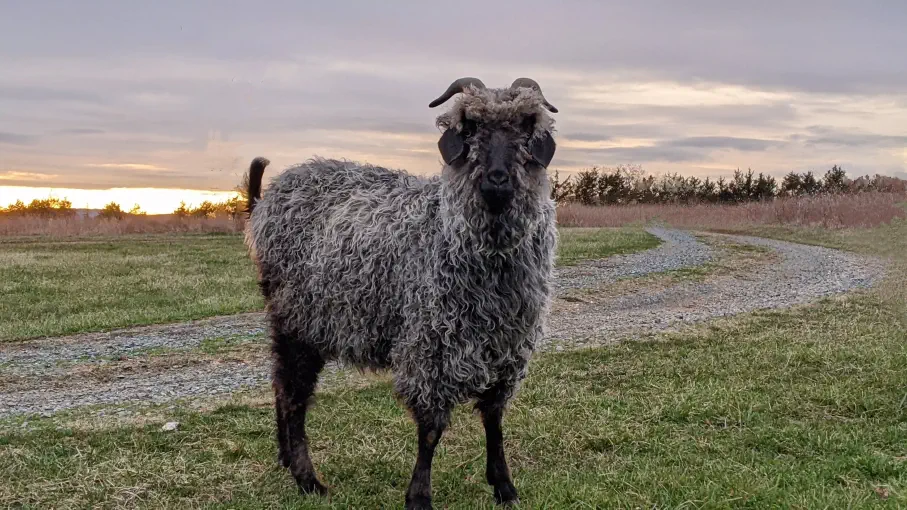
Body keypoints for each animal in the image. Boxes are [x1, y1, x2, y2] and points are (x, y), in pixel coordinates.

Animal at [243, 77, 559, 509]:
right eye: (470, 126)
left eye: (527, 125)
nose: (497, 179)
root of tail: (266, 200)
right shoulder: (432, 345)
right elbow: (430, 430)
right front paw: (419, 496)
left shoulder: (507, 349)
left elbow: (493, 420)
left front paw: (504, 486)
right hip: (297, 317)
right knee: (293, 394)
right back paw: (308, 479)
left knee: (279, 384)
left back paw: (285, 457)